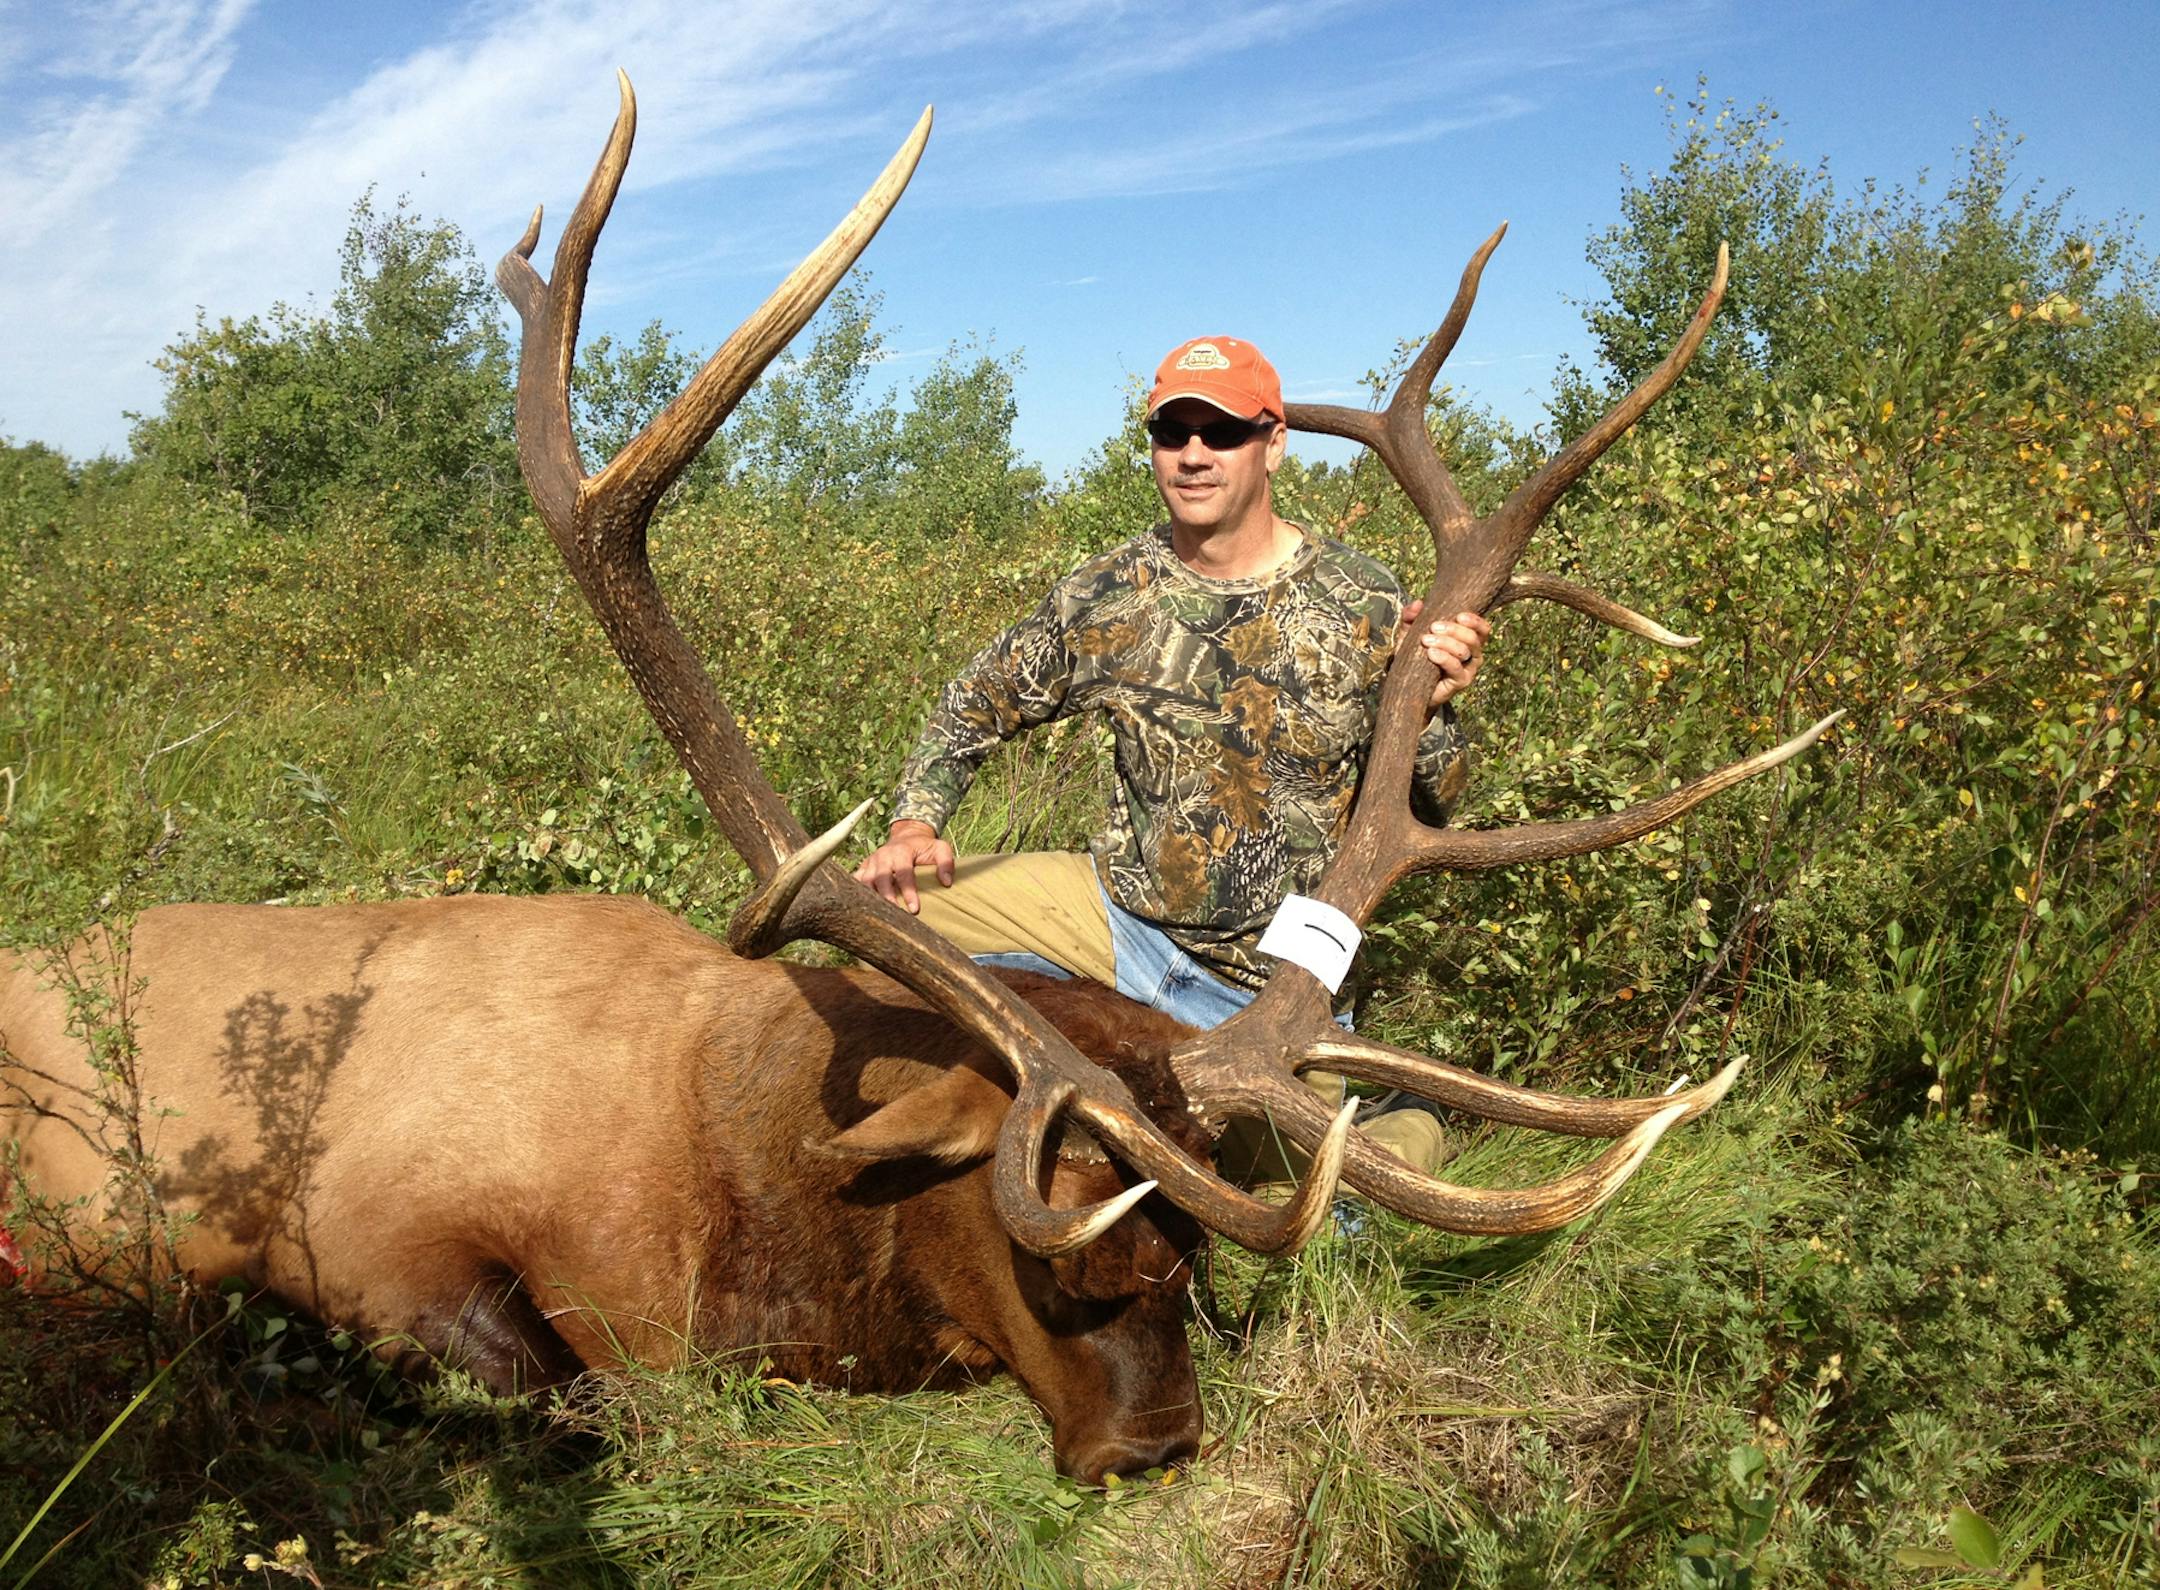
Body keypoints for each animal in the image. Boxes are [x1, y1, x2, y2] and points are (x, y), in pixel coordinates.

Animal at [0, 75, 1833, 1481]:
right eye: (1063, 1228)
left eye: (1186, 1243)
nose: (1156, 1443)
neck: (724, 1201)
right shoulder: (381, 1242)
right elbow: (543, 1387)